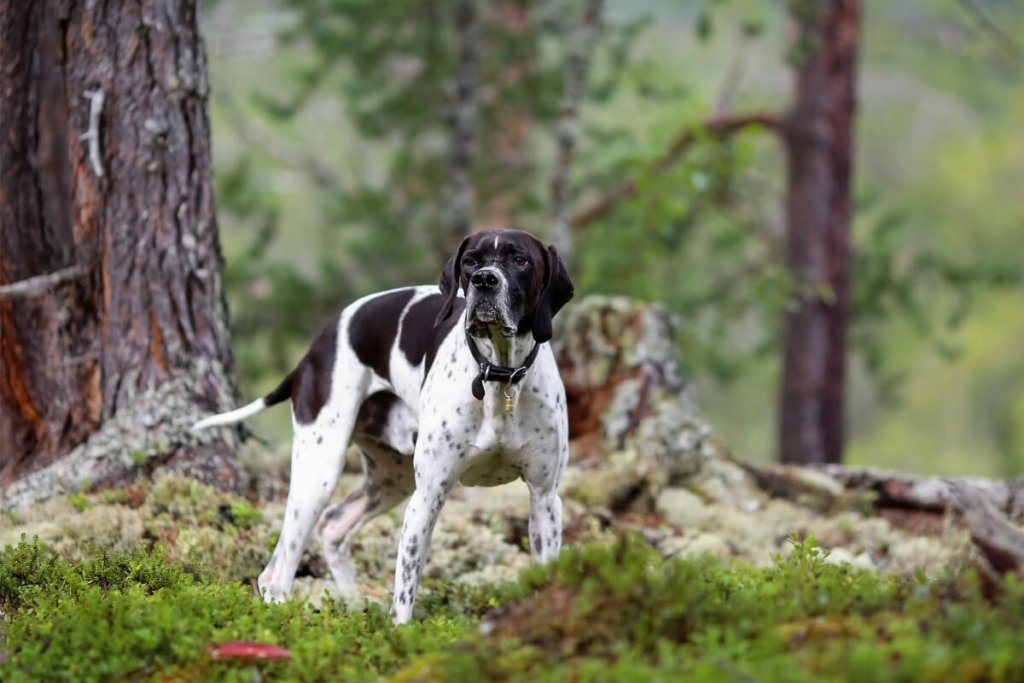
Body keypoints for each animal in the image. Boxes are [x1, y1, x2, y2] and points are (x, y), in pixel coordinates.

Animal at [192, 227, 573, 622]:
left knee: (332, 527)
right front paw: (401, 634)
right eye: (471, 261)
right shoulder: (427, 498)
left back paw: (351, 603)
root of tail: (315, 347)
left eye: (520, 260)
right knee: (280, 566)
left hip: (391, 479)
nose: (484, 279)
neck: (499, 374)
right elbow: (405, 589)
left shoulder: (545, 499)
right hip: (319, 473)